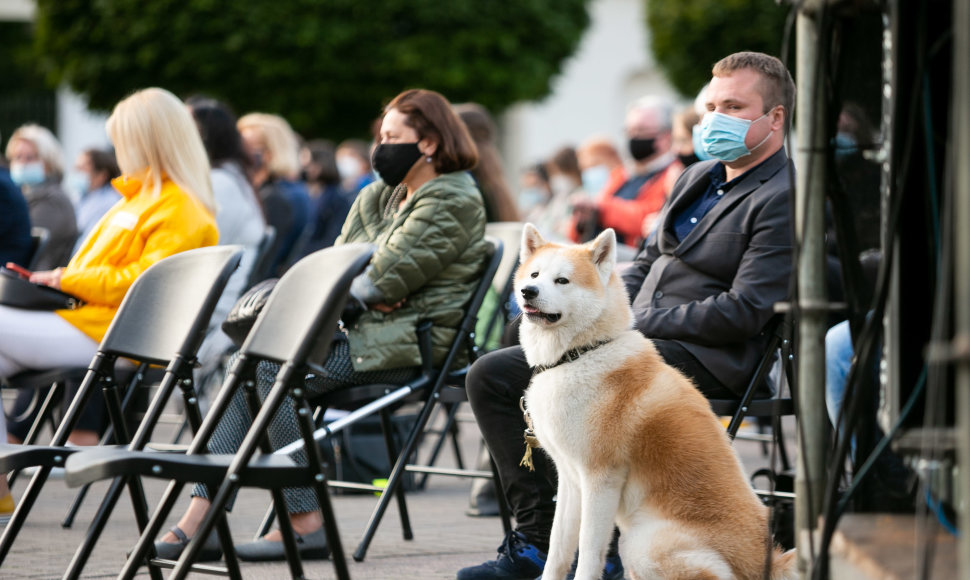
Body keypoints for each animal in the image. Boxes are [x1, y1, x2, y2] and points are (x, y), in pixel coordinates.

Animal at [516, 223, 796, 580]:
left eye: (562, 280)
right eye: (535, 274)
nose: (528, 291)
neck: (582, 354)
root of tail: (769, 566)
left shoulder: (600, 480)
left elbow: (589, 552)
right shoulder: (570, 480)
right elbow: (558, 549)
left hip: (641, 542)